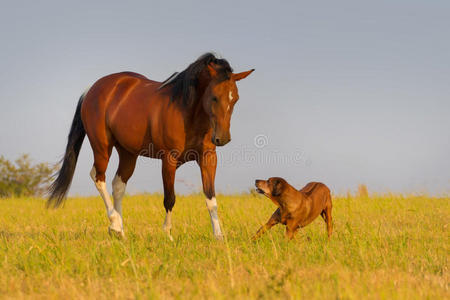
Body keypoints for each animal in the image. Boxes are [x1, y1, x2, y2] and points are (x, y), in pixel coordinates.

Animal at [48, 51, 256, 239]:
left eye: (235, 98)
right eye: (214, 97)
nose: (222, 138)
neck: (186, 111)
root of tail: (91, 90)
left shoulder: (208, 158)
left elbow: (211, 197)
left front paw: (218, 236)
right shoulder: (169, 160)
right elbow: (170, 199)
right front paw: (167, 234)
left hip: (127, 153)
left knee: (118, 185)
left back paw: (120, 232)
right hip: (102, 147)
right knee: (98, 177)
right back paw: (114, 223)